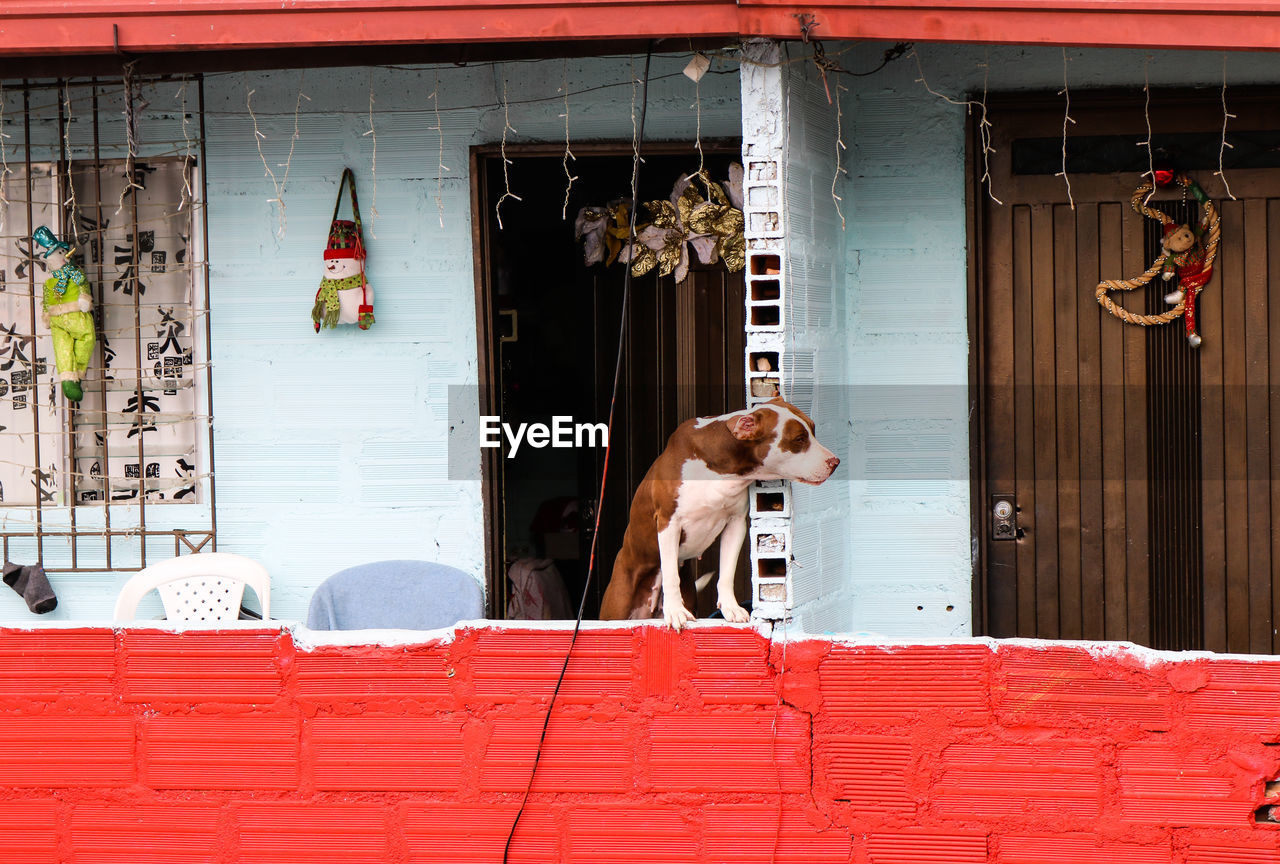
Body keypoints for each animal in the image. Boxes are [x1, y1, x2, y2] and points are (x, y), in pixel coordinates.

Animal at [599, 396, 839, 629]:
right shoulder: (669, 522)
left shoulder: (736, 524)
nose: (835, 462)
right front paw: (675, 611)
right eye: (799, 439)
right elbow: (670, 574)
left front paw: (730, 608)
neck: (721, 467)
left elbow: (727, 571)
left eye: (813, 430)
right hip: (618, 605)